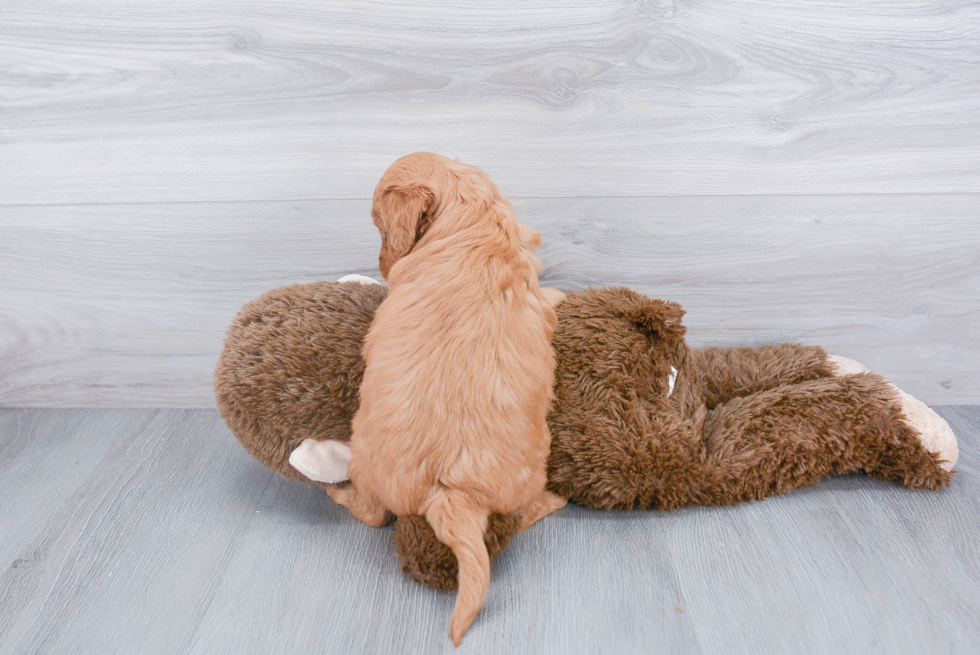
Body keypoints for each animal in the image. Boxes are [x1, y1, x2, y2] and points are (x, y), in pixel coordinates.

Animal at [328, 155, 568, 644]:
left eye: (382, 229)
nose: (382, 266)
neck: (471, 217)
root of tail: (450, 494)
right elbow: (548, 297)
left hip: (367, 462)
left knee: (373, 514)